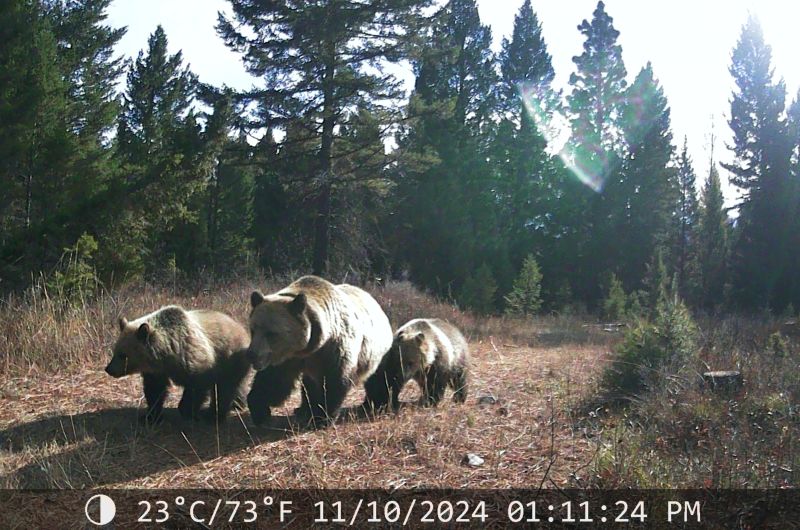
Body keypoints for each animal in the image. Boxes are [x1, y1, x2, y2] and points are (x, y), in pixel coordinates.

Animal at [105, 305, 252, 425]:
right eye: (115, 351)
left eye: (123, 355)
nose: (109, 369)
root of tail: (242, 330)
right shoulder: (157, 371)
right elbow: (154, 390)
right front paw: (150, 417)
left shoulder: (195, 358)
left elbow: (197, 387)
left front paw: (188, 411)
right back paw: (238, 403)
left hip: (230, 356)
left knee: (225, 387)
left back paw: (213, 415)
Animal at [245, 275, 393, 427]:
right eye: (253, 330)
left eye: (271, 334)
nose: (251, 354)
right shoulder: (289, 357)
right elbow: (273, 380)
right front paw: (259, 411)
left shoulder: (334, 347)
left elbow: (333, 380)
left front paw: (323, 417)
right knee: (309, 383)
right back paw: (303, 408)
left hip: (377, 352)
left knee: (378, 378)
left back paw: (374, 404)